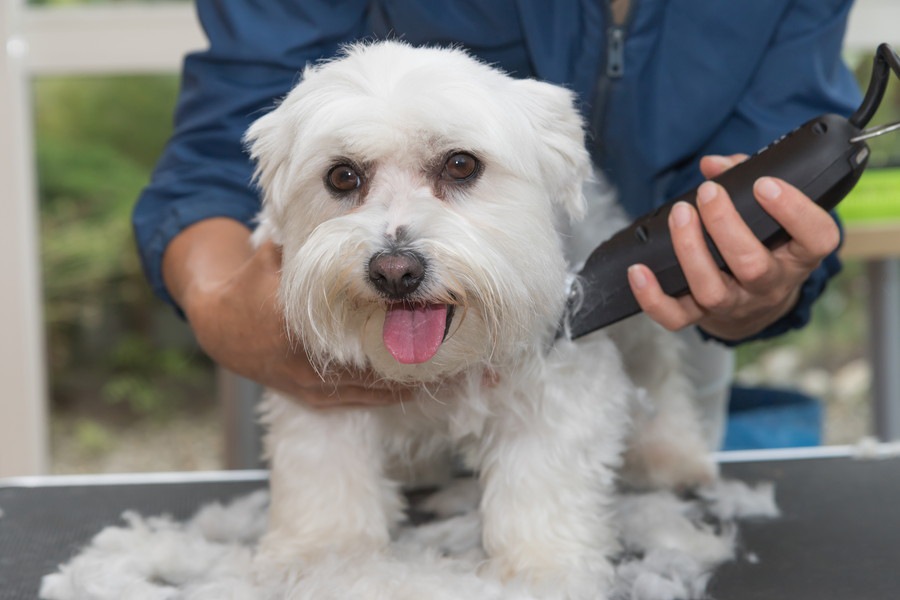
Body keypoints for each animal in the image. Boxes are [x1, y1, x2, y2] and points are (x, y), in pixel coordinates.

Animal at [246, 42, 716, 600]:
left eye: (460, 164)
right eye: (342, 176)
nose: (395, 271)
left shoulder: (561, 386)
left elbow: (541, 484)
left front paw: (543, 570)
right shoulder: (319, 398)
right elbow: (324, 478)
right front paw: (324, 558)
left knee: (659, 371)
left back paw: (674, 454)